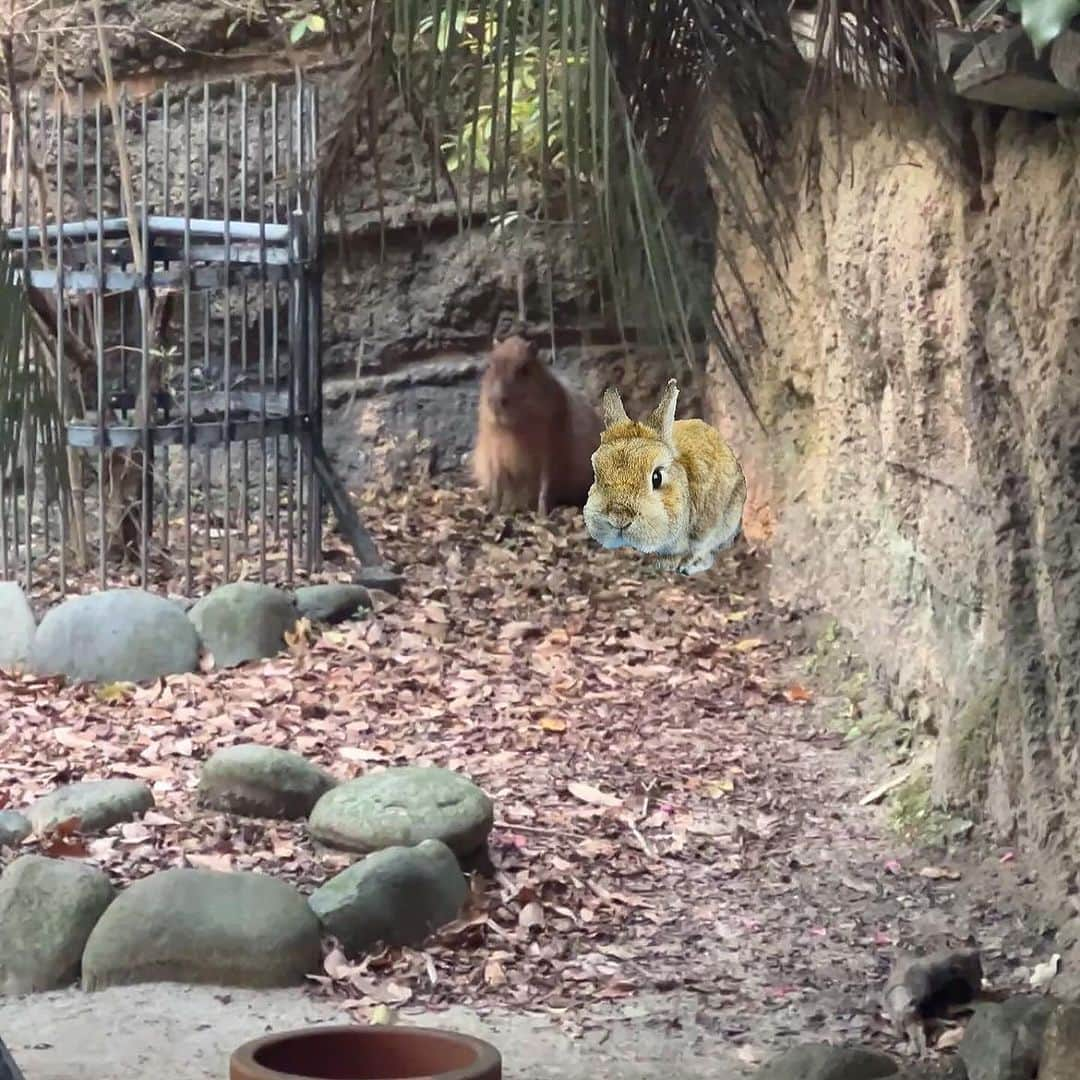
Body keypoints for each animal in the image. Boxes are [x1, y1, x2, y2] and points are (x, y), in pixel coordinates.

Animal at [475, 334, 609, 516]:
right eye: (490, 365)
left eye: (524, 369)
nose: (496, 403)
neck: (515, 427)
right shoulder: (494, 449)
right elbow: (498, 482)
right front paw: (493, 509)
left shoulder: (550, 449)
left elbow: (546, 484)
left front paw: (542, 513)